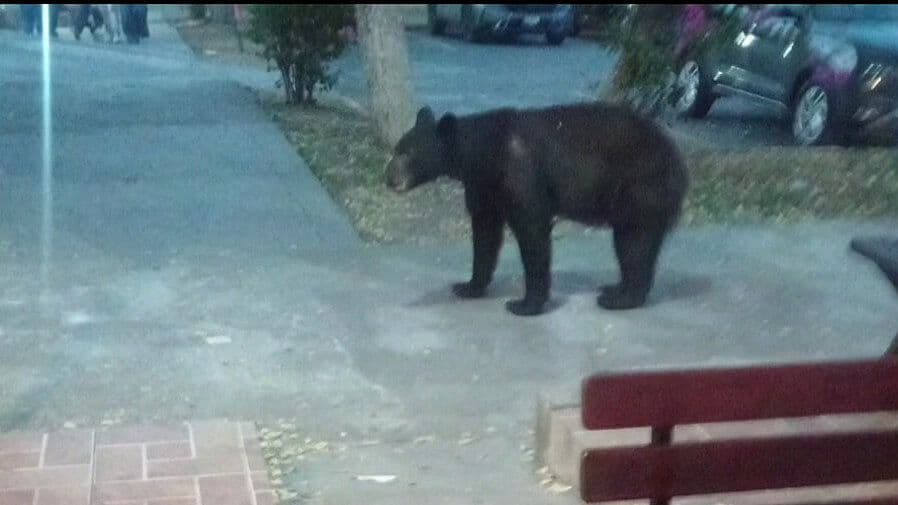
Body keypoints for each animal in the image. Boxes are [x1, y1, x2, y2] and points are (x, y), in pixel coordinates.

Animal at [385, 103, 688, 316]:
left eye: (407, 153)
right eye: (396, 149)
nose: (389, 178)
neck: (484, 153)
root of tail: (679, 160)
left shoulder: (520, 174)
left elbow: (532, 230)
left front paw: (524, 304)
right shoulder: (483, 186)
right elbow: (485, 233)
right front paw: (468, 286)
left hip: (641, 185)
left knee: (633, 240)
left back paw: (619, 298)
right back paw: (616, 287)